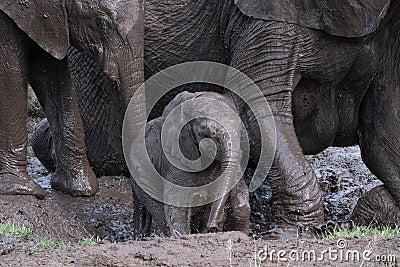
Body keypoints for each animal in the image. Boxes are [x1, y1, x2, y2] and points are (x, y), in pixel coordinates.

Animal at [130, 91, 250, 238]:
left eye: (241, 133)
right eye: (206, 133)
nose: (213, 227)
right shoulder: (174, 158)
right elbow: (177, 204)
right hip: (142, 179)